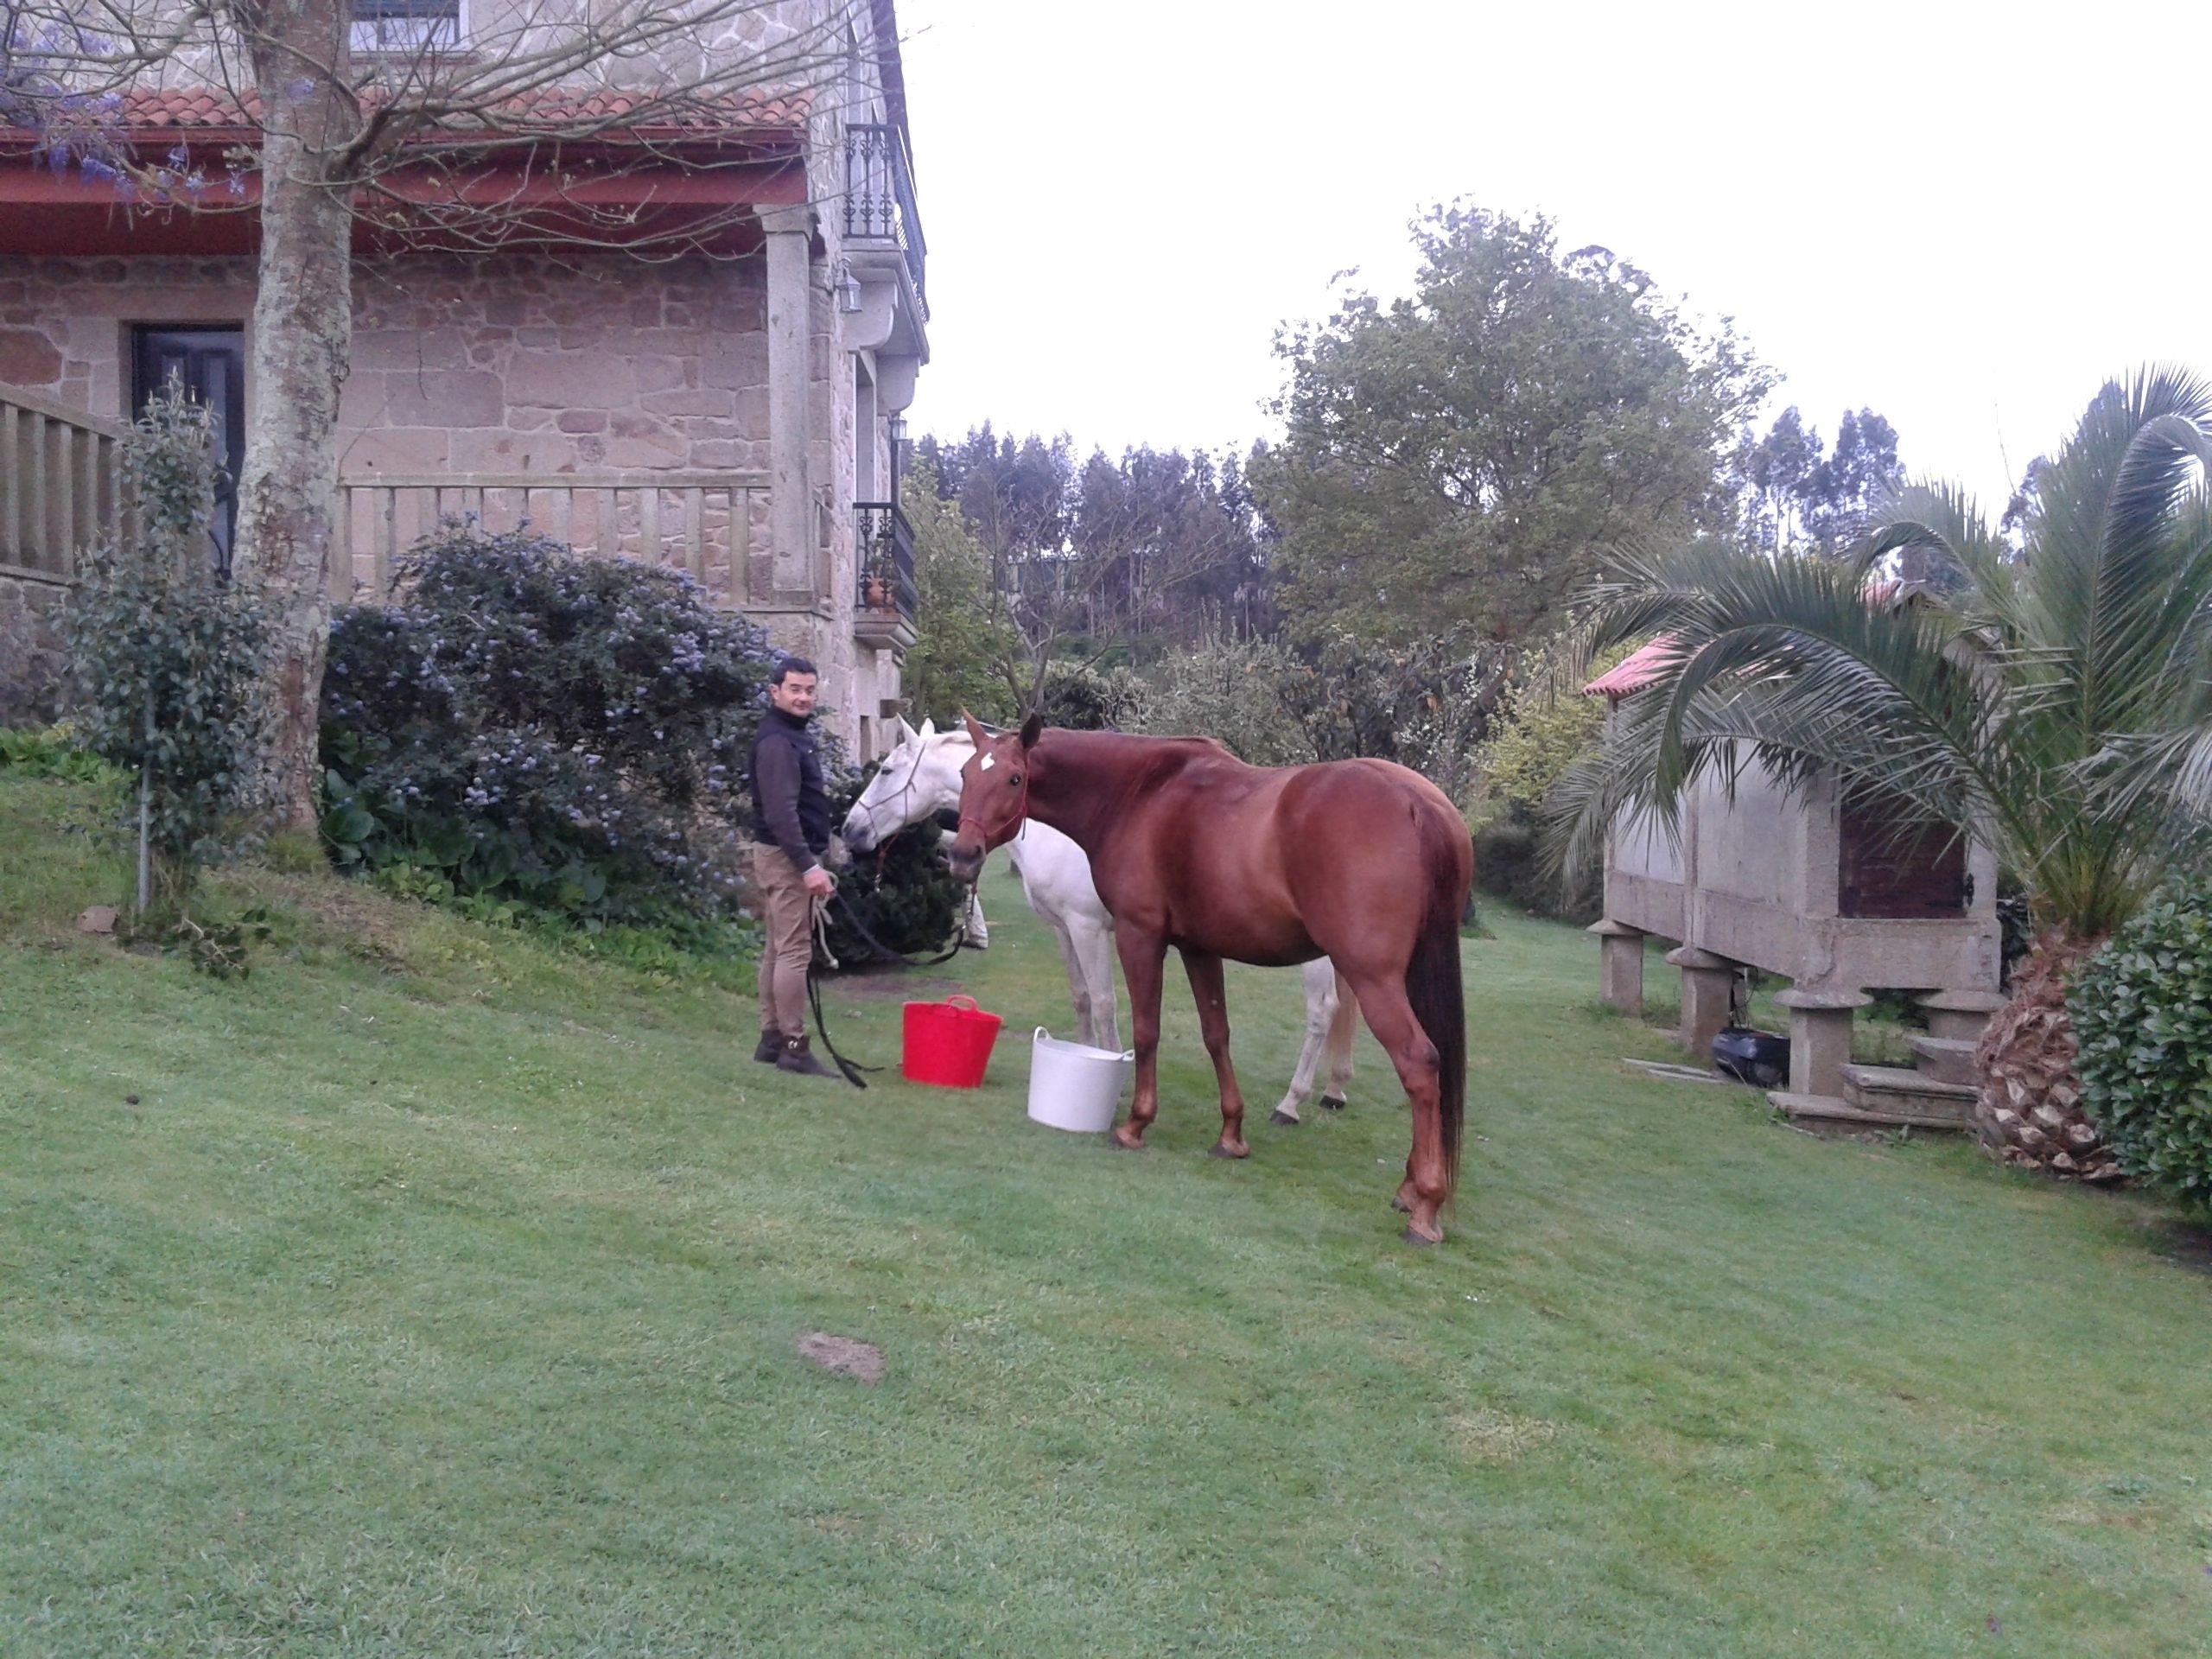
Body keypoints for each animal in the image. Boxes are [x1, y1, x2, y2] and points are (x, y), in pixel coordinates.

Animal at [843, 718, 1360, 1122]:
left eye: (886, 770)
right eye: (968, 775)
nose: (850, 831)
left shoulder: (1089, 928)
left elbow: (1107, 1002)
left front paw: (1117, 1070)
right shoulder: (1063, 929)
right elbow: (1081, 1000)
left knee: (1322, 1012)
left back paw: (1290, 1104)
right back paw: (1334, 1091)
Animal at [947, 714, 1472, 1245]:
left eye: (1015, 778)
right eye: (967, 773)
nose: (963, 854)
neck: (1141, 795)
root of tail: (1416, 802)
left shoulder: (1137, 936)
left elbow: (1144, 1029)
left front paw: (1135, 1123)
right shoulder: (1199, 948)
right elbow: (1216, 1034)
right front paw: (1231, 1135)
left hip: (1372, 977)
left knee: (1418, 1062)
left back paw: (1425, 1206)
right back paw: (1407, 1187)